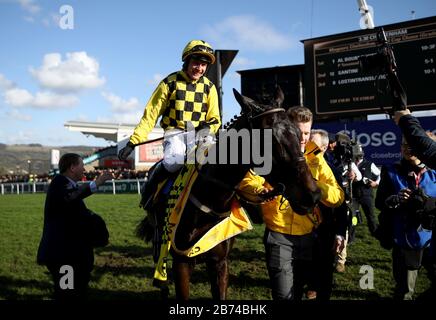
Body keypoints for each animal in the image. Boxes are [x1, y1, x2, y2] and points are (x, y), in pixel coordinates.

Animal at [136, 87, 320, 300]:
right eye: (271, 139)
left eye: (299, 134)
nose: (313, 194)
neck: (210, 201)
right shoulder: (182, 263)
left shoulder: (220, 261)